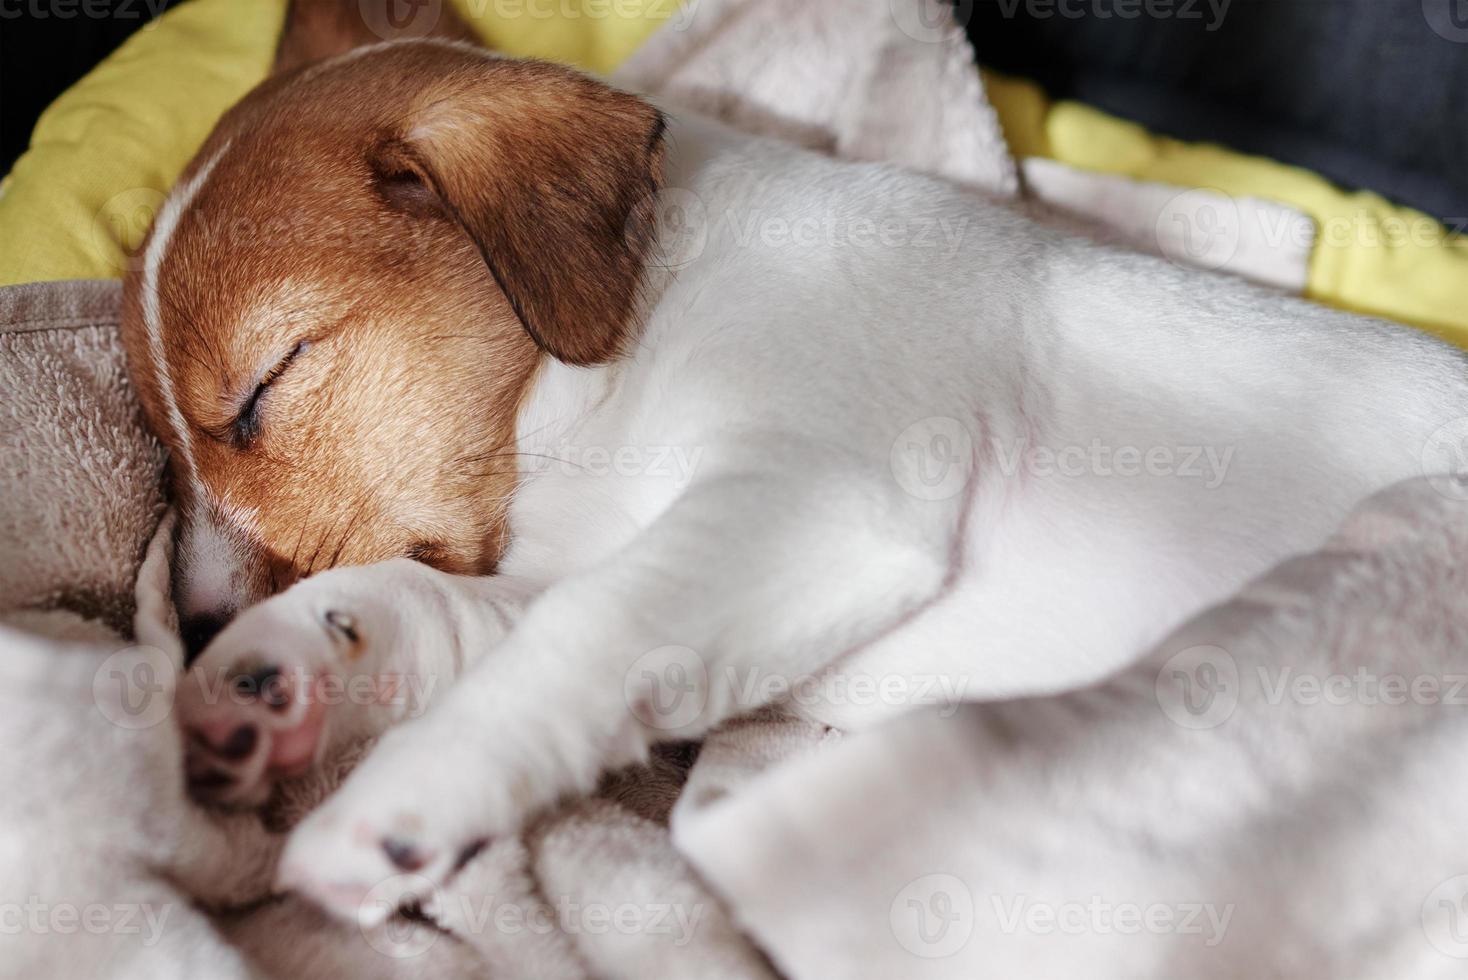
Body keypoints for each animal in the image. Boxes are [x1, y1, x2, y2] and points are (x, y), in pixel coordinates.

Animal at [120, 0, 1468, 921]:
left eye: (264, 385)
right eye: (163, 438)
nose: (191, 623)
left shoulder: (816, 500)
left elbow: (572, 638)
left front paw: (397, 800)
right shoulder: (604, 564)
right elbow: (439, 605)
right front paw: (276, 672)